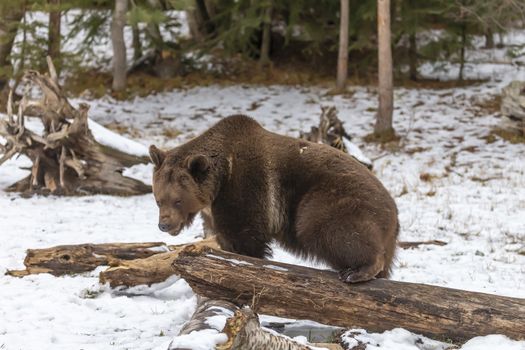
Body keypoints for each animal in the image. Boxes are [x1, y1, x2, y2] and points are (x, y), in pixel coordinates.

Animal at [149, 114, 400, 282]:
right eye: (158, 199)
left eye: (178, 200)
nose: (164, 224)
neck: (219, 181)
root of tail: (394, 211)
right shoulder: (213, 211)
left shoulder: (244, 189)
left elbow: (246, 235)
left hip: (333, 199)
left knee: (327, 228)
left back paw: (357, 271)